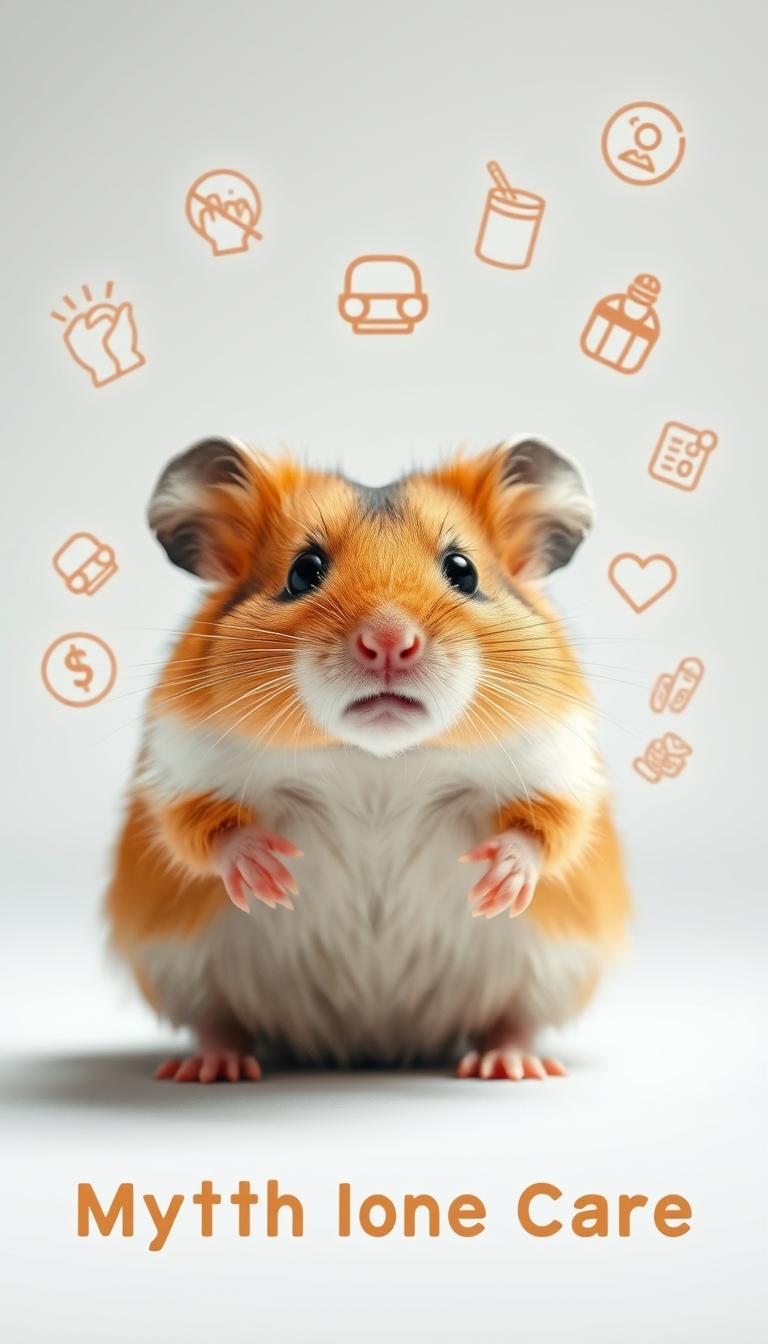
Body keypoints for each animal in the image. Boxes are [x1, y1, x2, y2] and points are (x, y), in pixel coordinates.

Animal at [106, 435, 629, 1083]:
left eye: (463, 570)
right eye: (304, 570)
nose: (388, 641)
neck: (380, 760)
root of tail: (372, 1041)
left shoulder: (559, 766)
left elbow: (547, 830)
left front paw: (496, 883)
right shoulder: (180, 769)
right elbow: (202, 829)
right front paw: (270, 877)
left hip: (550, 973)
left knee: (515, 1020)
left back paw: (508, 1064)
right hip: (182, 971)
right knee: (218, 1022)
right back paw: (210, 1068)